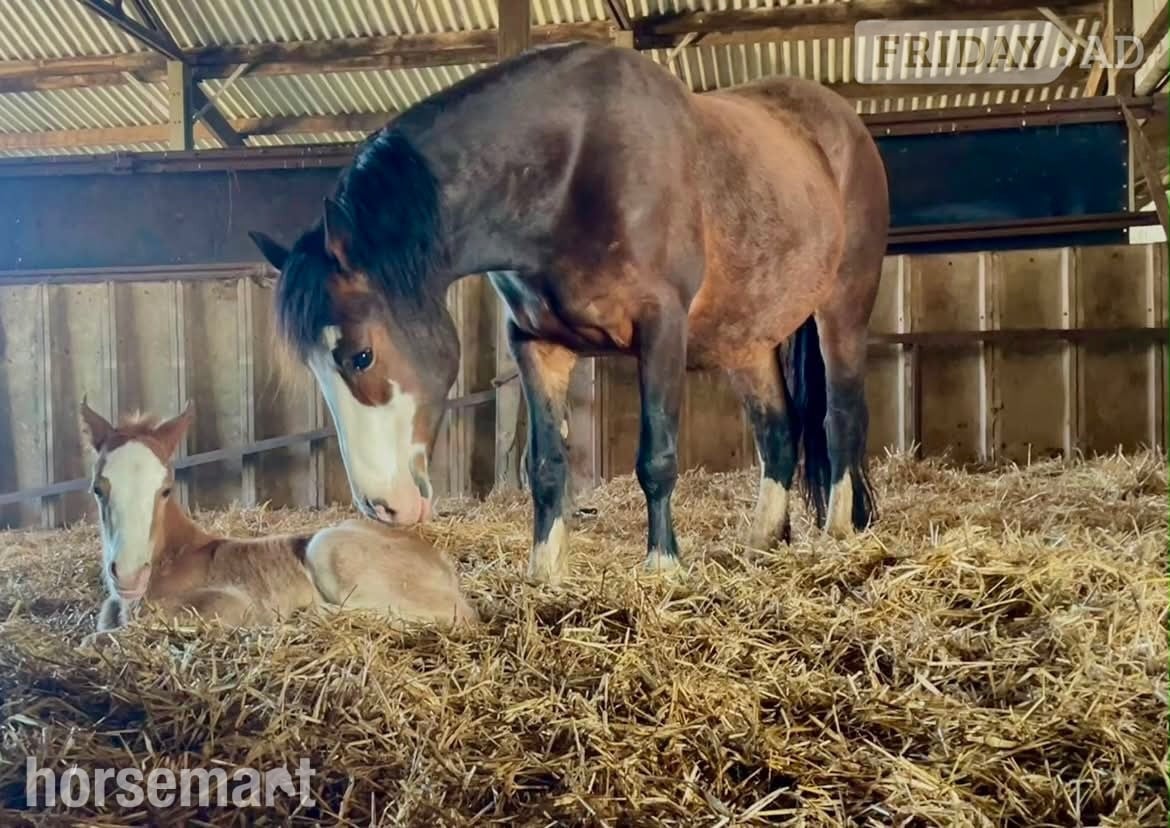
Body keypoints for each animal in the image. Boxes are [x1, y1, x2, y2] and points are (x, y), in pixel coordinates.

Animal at [79, 400, 478, 632]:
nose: (129, 574)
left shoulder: (231, 604)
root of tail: (440, 560)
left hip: (327, 545)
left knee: (455, 613)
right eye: (98, 489)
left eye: (165, 490)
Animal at [248, 42, 888, 586]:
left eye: (361, 355)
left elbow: (657, 455)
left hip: (842, 310)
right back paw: (761, 540)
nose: (384, 507)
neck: (572, 167)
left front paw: (662, 568)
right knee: (778, 431)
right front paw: (545, 571)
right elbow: (547, 466)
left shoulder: (662, 327)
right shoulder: (536, 343)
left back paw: (836, 534)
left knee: (841, 419)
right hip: (746, 339)